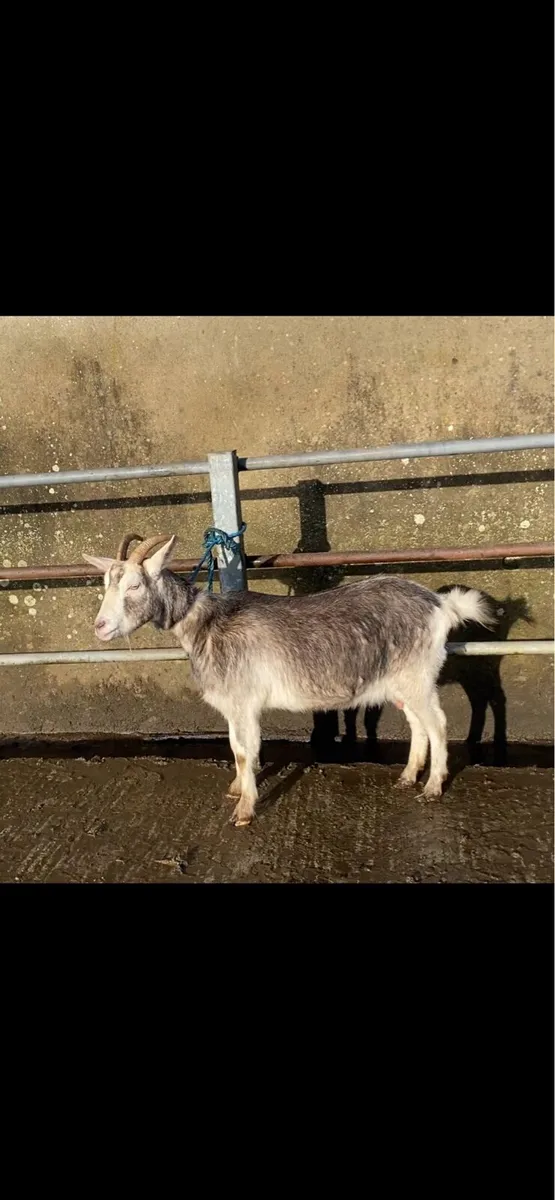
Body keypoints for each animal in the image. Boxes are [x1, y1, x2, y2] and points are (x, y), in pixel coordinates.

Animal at [84, 533, 495, 826]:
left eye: (134, 585)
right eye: (105, 584)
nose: (100, 627)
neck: (205, 624)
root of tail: (441, 605)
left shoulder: (244, 701)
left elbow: (244, 751)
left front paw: (244, 811)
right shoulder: (233, 705)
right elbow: (236, 748)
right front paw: (237, 789)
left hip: (417, 674)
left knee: (438, 723)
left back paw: (433, 787)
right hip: (401, 679)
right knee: (417, 723)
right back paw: (409, 776)